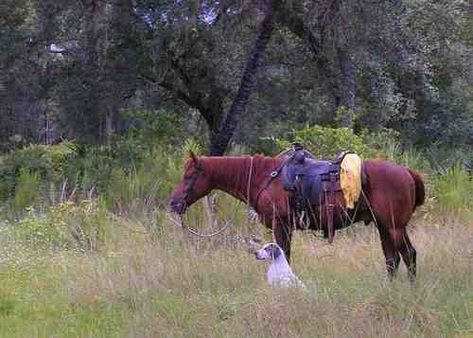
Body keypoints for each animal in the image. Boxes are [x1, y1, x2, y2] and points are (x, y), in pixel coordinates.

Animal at [169, 152, 424, 282]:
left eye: (189, 175)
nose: (173, 202)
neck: (263, 176)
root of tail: (408, 172)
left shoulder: (281, 225)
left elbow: (285, 256)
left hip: (394, 227)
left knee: (408, 255)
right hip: (384, 227)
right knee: (392, 259)